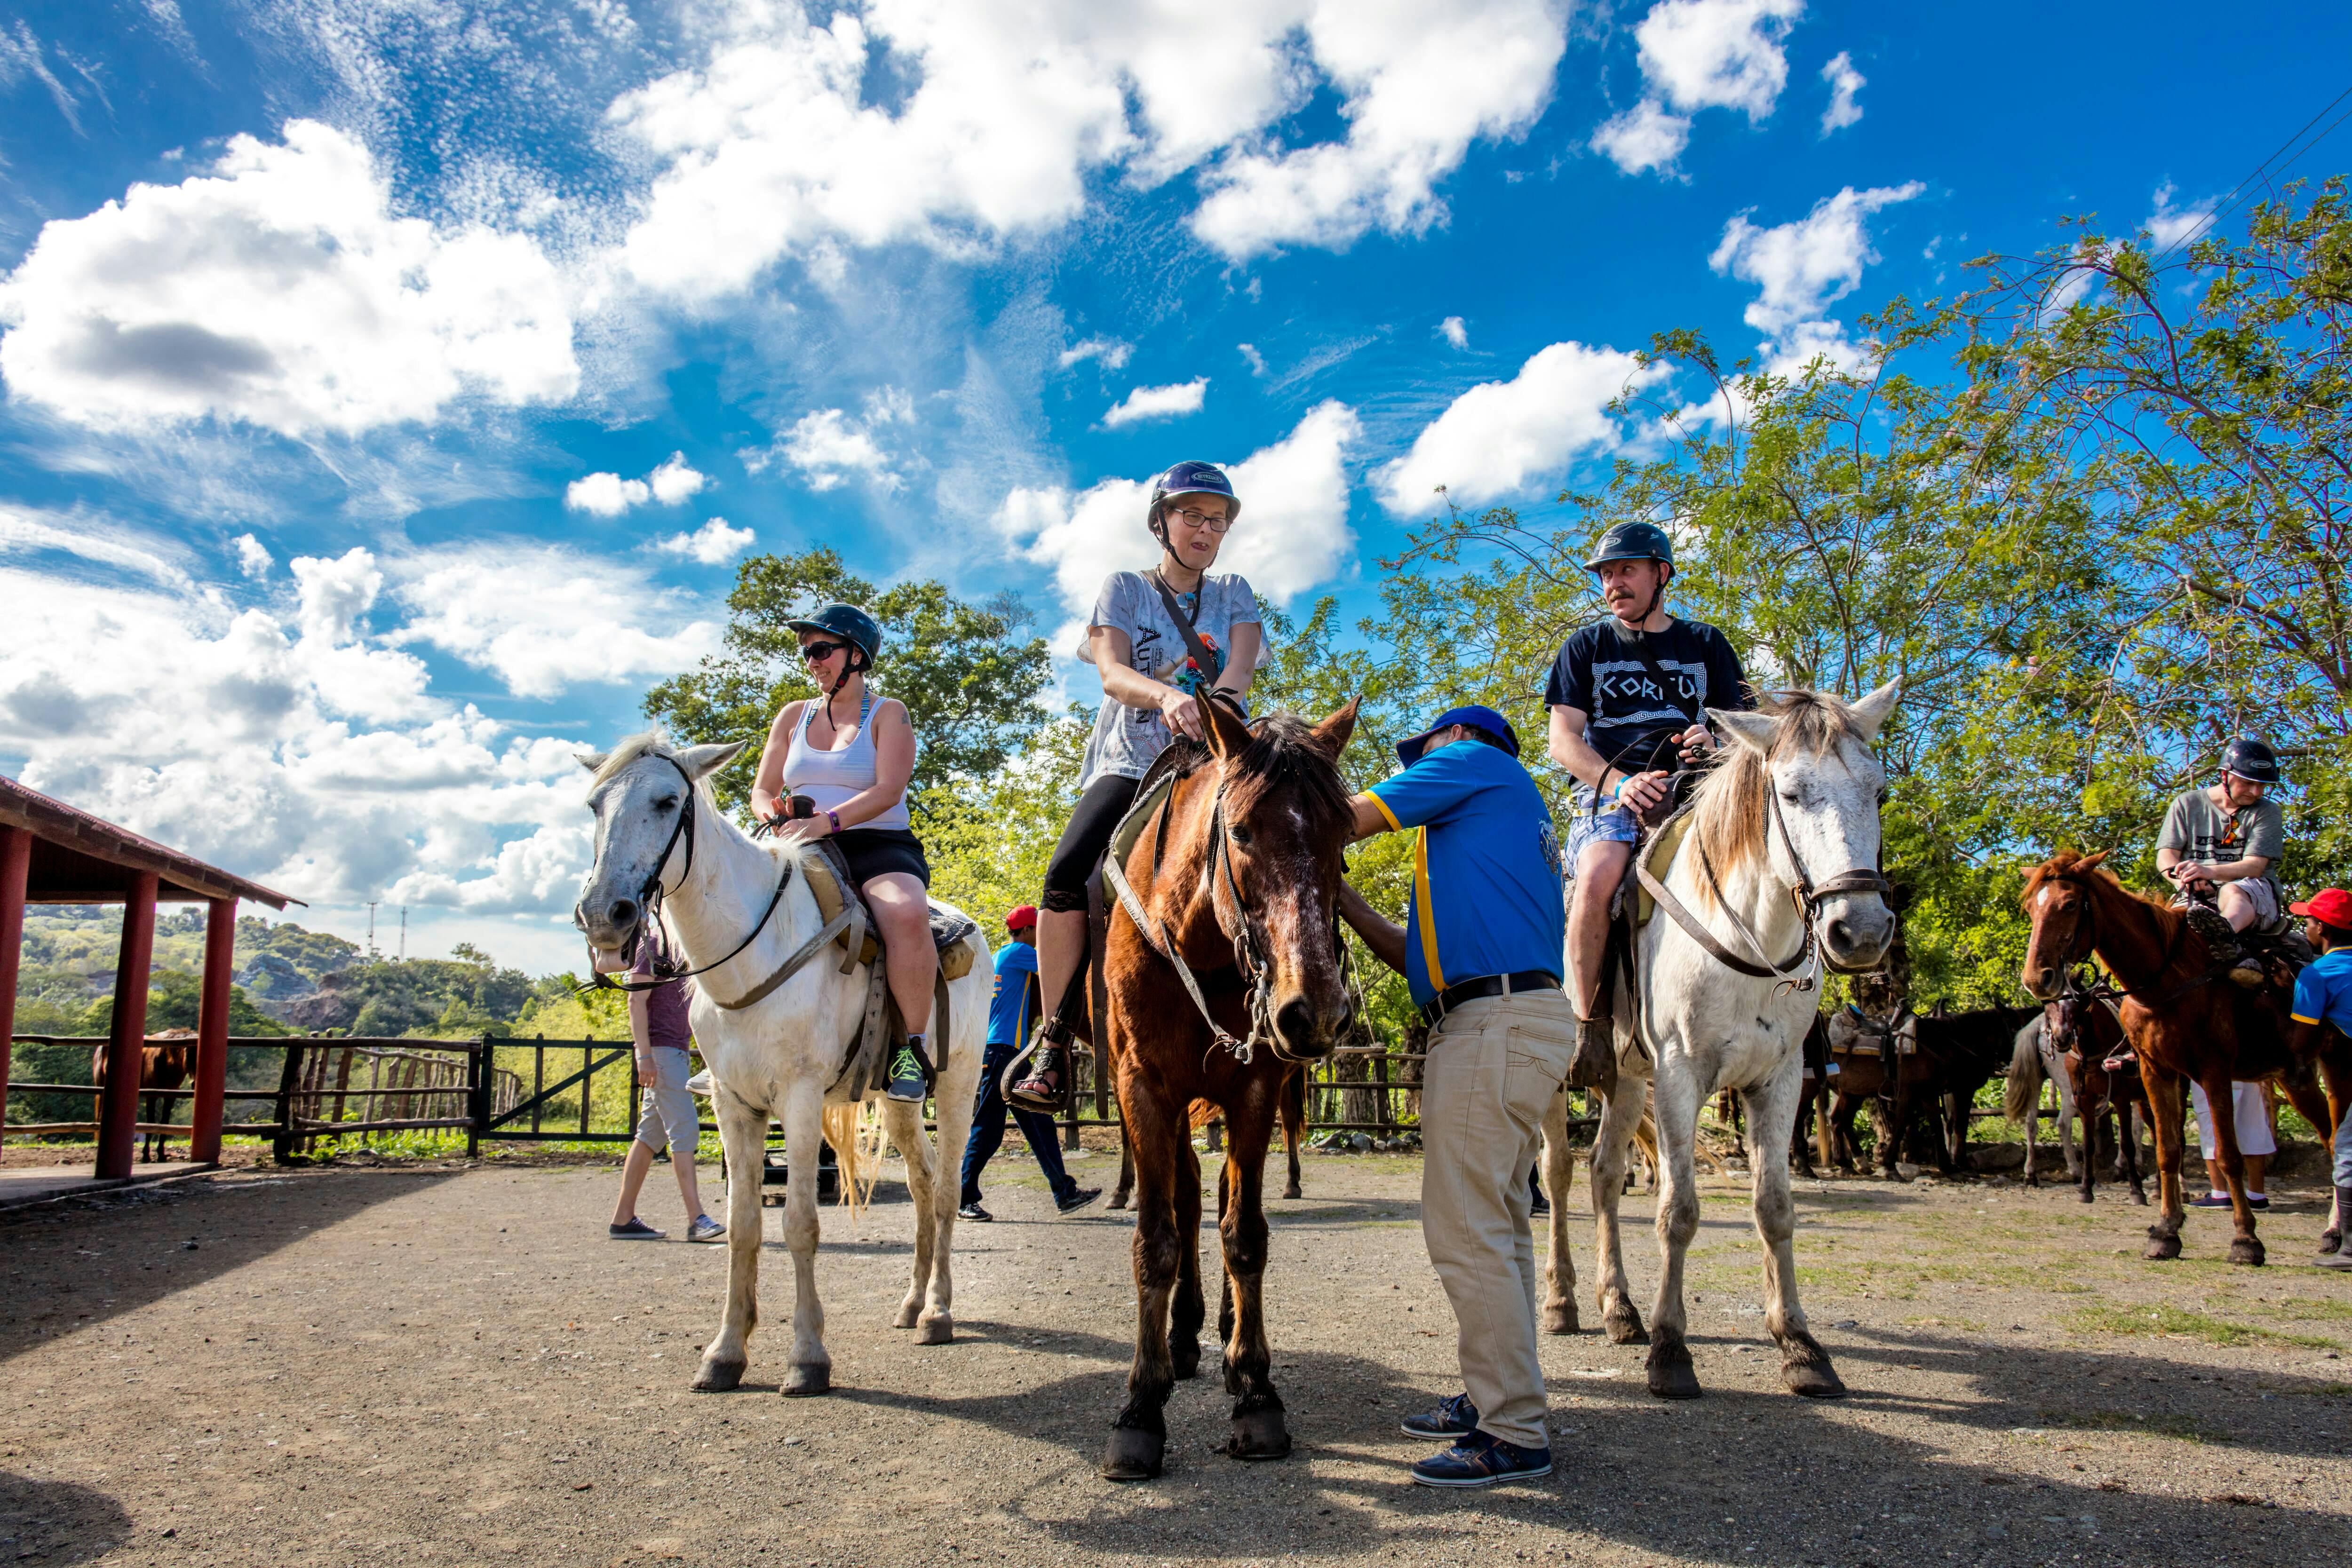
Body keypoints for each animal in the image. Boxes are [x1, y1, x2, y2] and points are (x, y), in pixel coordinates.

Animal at [574, 738, 988, 1401]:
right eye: (595, 805)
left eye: (666, 801)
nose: (602, 914)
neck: (750, 950)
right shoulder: (732, 1105)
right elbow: (744, 1226)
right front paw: (724, 1353)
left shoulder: (797, 1099)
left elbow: (798, 1223)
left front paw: (808, 1357)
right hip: (897, 1101)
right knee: (923, 1183)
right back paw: (910, 1303)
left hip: (957, 1085)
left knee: (948, 1191)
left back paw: (938, 1312)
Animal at [1087, 700, 1364, 1486]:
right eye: (1239, 830)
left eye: (1343, 835)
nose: (1314, 1011)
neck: (1200, 946)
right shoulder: (1143, 1088)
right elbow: (1155, 1239)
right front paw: (1140, 1406)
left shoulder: (1255, 1087)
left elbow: (1245, 1234)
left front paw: (1257, 1391)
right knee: (1182, 1199)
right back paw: (1181, 1338)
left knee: (1208, 1197)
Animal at [1543, 686, 1910, 1401]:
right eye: (1790, 792)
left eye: (1878, 790)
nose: (1860, 929)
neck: (1746, 936)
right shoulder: (1681, 1075)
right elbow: (1678, 1210)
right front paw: (1670, 1351)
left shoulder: (1781, 1079)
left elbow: (1774, 1207)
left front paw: (1799, 1345)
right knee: (1557, 1171)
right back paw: (1561, 1301)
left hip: (1627, 1079)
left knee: (1602, 1172)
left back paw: (1618, 1307)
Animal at [2013, 851, 2343, 1269]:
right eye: (2030, 908)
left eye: (2070, 904)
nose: (2037, 979)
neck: (2167, 982)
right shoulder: (2157, 1073)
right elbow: (2168, 1150)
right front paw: (2167, 1232)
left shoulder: (2213, 1072)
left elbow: (2229, 1154)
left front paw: (2246, 1239)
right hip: (2295, 1075)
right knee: (2332, 1138)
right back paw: (2333, 1233)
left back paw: (2334, 1230)